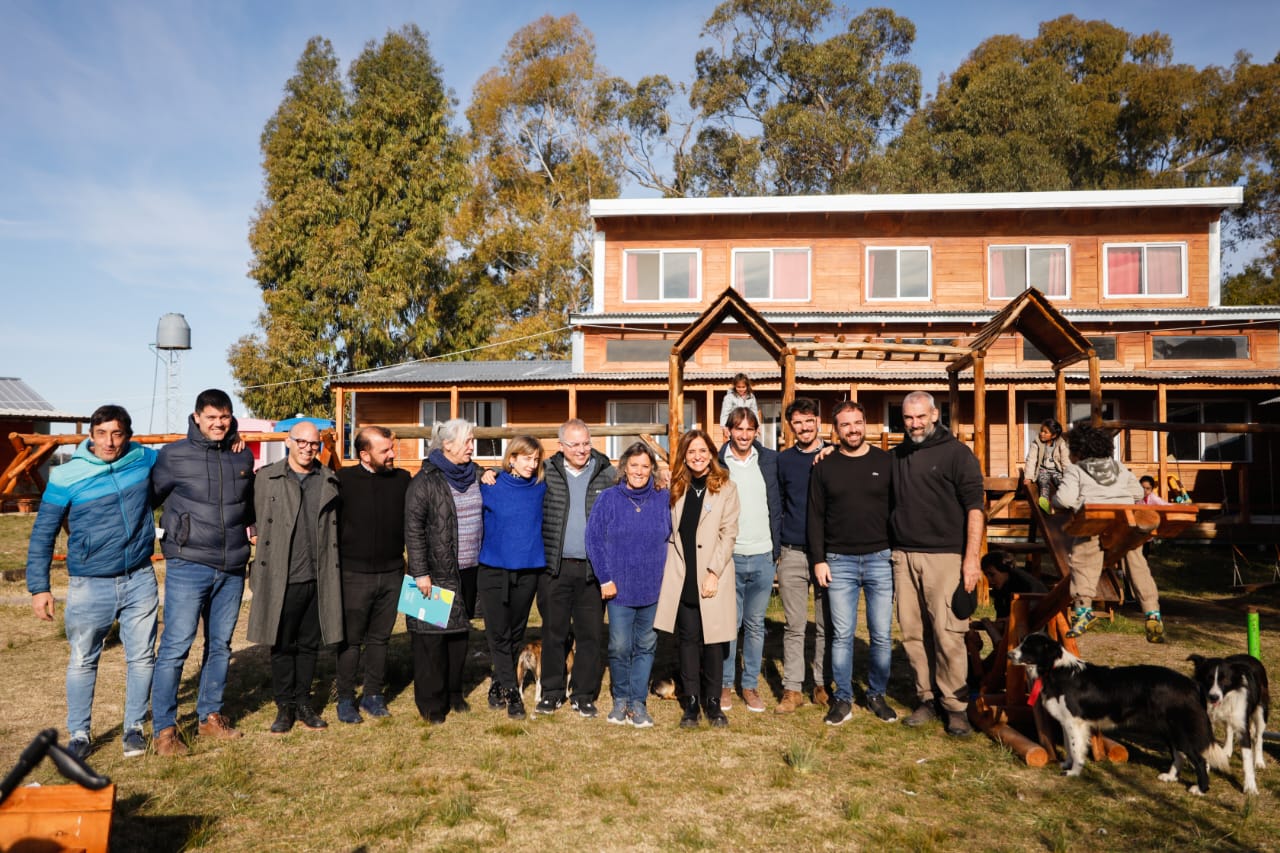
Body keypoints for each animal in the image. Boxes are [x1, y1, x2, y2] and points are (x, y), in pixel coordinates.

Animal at [1008, 627, 1228, 794]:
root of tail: (1192, 684)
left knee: (1199, 759)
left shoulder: (1075, 722)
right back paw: (1170, 777)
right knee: (1178, 754)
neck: (1055, 669)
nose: (1009, 654)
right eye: (1021, 642)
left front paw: (1074, 772)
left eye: (1028, 646)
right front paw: (1067, 764)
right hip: (1169, 729)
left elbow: (1076, 749)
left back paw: (1201, 789)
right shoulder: (1066, 721)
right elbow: (1069, 747)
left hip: (1181, 730)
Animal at [1187, 653, 1269, 794]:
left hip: (1261, 711)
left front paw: (1250, 787)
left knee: (1258, 737)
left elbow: (1247, 758)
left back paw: (1259, 761)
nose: (1213, 697)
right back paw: (1227, 750)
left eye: (1224, 680)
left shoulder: (1243, 727)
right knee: (1229, 729)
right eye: (1208, 679)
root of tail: (1250, 657)